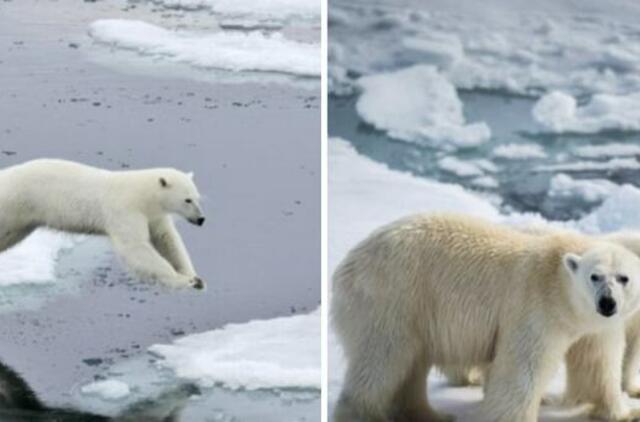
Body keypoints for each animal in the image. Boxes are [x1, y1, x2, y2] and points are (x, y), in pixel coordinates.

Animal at [0, 159, 205, 290]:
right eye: (187, 200)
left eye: (197, 197)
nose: (201, 219)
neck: (142, 195)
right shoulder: (125, 210)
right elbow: (135, 248)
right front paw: (182, 281)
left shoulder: (154, 215)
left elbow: (167, 239)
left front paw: (195, 277)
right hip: (15, 204)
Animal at [332, 214, 640, 422]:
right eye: (594, 276)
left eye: (624, 278)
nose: (607, 302)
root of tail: (346, 267)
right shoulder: (536, 306)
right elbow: (522, 368)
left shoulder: (594, 326)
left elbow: (598, 364)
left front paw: (623, 411)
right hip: (392, 297)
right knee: (383, 358)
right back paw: (363, 413)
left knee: (410, 366)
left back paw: (431, 414)